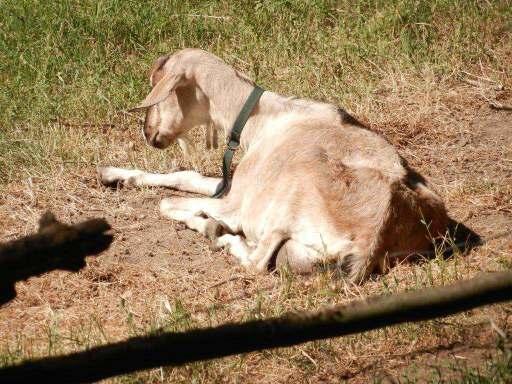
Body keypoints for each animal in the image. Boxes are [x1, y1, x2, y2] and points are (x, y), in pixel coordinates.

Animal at [99, 48, 448, 282]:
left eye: (159, 88)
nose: (148, 133)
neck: (266, 118)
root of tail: (373, 239)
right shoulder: (234, 186)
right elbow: (187, 176)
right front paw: (113, 175)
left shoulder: (238, 201)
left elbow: (167, 202)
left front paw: (210, 223)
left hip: (286, 201)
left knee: (255, 260)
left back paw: (220, 233)